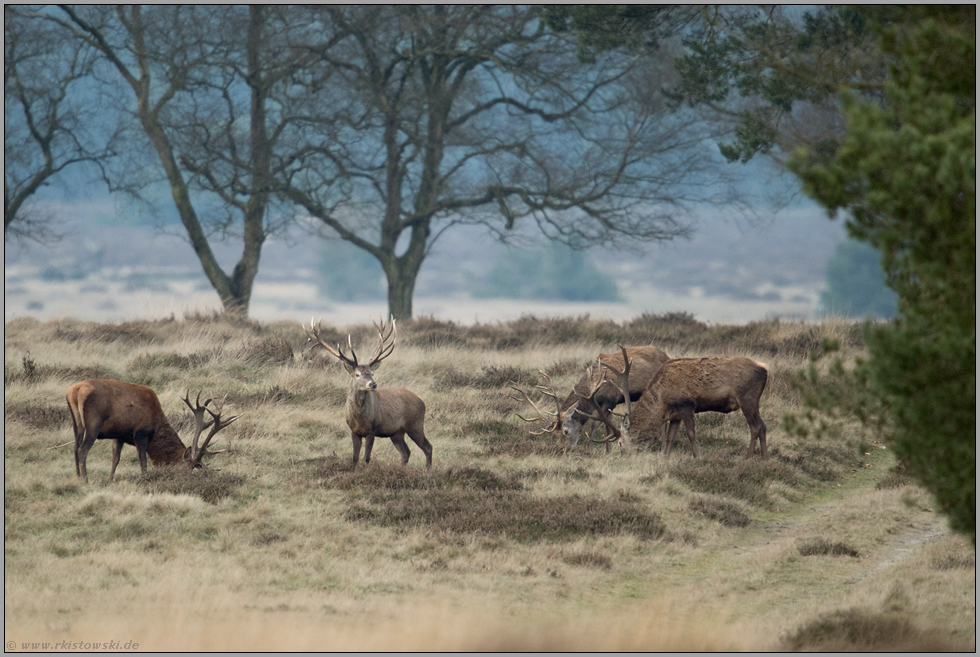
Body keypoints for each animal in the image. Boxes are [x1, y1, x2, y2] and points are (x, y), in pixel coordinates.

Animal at [65, 380, 239, 482]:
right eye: (185, 469)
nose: (184, 482)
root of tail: (74, 391)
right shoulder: (141, 433)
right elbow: (143, 462)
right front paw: (145, 480)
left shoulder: (119, 435)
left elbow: (115, 460)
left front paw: (110, 481)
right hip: (93, 424)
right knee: (82, 450)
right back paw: (85, 480)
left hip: (76, 423)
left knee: (74, 448)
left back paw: (77, 477)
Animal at [304, 316, 430, 466]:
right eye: (357, 374)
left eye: (372, 373)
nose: (373, 384)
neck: (360, 419)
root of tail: (422, 401)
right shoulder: (354, 431)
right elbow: (354, 458)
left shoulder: (372, 430)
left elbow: (366, 458)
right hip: (396, 432)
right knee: (406, 452)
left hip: (415, 425)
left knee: (427, 447)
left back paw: (428, 470)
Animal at [632, 356, 768, 458]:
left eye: (622, 442)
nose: (629, 454)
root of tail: (765, 370)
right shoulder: (676, 415)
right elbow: (670, 436)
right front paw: (666, 456)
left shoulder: (687, 405)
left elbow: (691, 434)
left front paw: (697, 456)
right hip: (755, 403)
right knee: (763, 426)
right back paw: (764, 457)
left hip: (747, 400)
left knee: (755, 427)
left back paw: (748, 457)